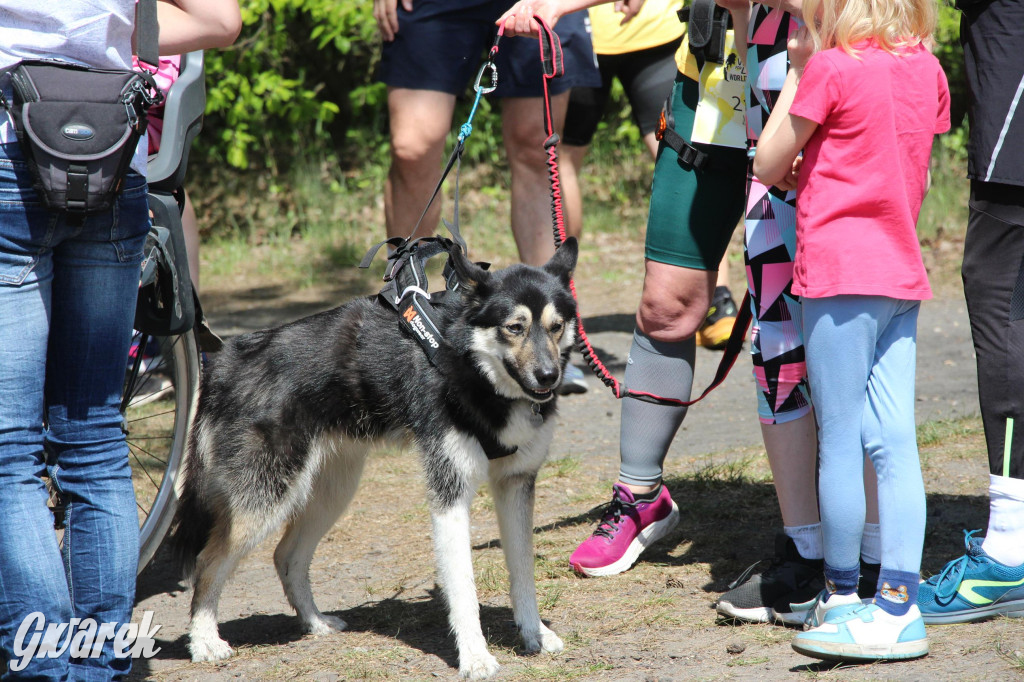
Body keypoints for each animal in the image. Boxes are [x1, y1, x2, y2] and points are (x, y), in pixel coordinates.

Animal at [172, 235, 581, 675]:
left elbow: (523, 572)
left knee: (286, 556)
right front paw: (474, 656)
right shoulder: (450, 495)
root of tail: (226, 359)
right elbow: (463, 589)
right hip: (263, 500)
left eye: (556, 327)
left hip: (331, 492)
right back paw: (204, 642)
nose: (549, 376)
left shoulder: (516, 484)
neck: (474, 371)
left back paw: (315, 622)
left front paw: (535, 633)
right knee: (208, 562)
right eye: (514, 327)